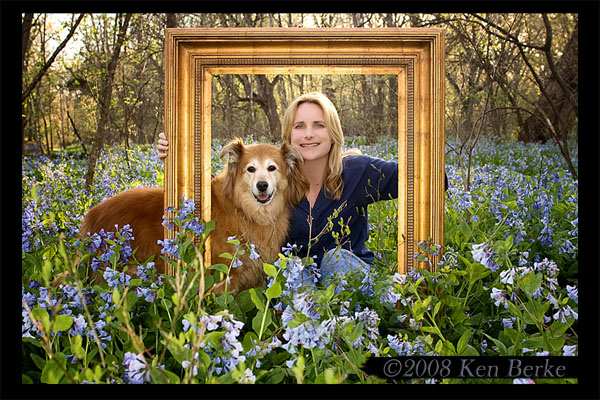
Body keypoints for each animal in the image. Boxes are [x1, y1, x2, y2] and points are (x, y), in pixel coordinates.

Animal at [80, 138, 308, 294]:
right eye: (250, 169)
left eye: (272, 168)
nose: (262, 185)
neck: (244, 210)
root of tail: (92, 214)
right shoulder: (223, 277)